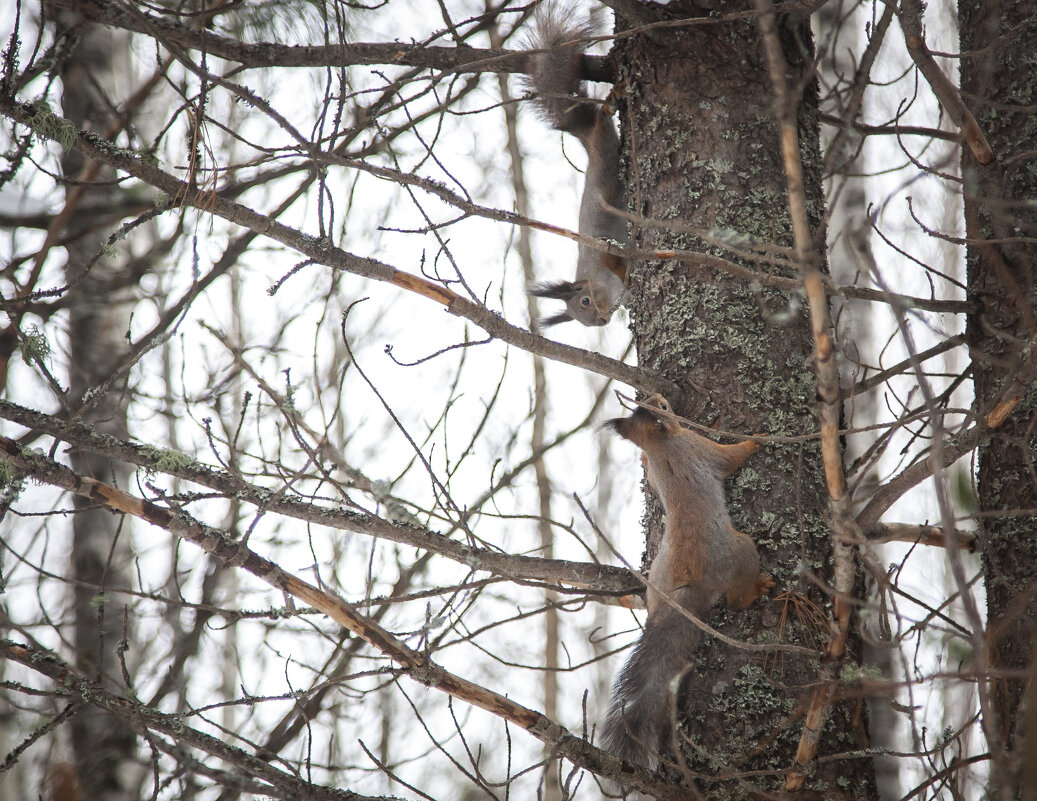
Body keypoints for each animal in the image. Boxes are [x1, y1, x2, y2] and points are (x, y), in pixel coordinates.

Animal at [526, 6, 622, 325]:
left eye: (585, 299)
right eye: (584, 321)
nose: (602, 321)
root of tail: (586, 137)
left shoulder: (607, 254)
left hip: (605, 154)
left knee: (602, 119)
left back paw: (610, 104)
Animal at [601, 396, 771, 780]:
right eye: (663, 408)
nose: (664, 401)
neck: (662, 444)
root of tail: (692, 585)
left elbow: (650, 471)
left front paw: (642, 460)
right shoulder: (699, 448)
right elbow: (731, 457)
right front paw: (757, 440)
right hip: (741, 551)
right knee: (737, 600)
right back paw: (759, 588)